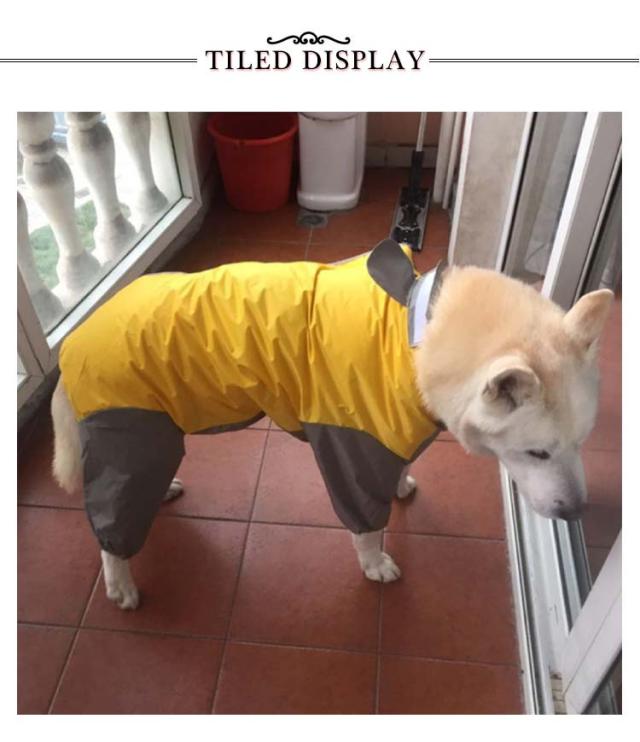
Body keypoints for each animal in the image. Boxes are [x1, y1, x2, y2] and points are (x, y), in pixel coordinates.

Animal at [51, 239, 613, 610]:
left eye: (582, 443)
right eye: (537, 452)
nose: (576, 513)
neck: (417, 334)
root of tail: (74, 341)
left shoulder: (390, 429)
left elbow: (399, 467)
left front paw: (402, 485)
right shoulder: (353, 449)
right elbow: (367, 524)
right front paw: (374, 563)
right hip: (130, 435)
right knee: (111, 522)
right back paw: (120, 581)